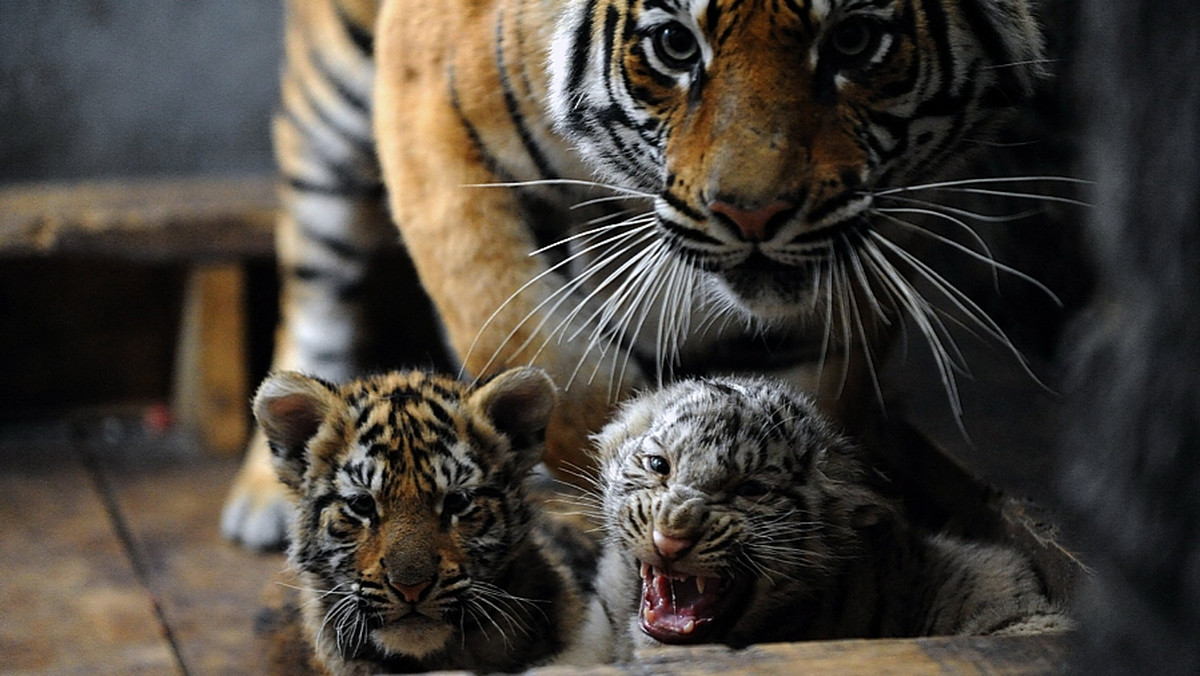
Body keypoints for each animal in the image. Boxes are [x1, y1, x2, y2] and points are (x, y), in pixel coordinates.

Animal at [220, 0, 1046, 549]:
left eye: (853, 39)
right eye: (676, 45)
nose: (752, 215)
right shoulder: (432, 124)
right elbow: (553, 366)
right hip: (330, 107)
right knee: (318, 287)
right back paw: (271, 494)